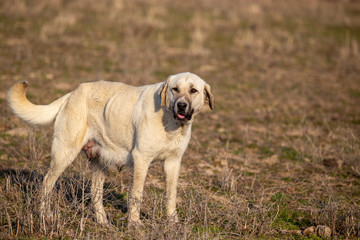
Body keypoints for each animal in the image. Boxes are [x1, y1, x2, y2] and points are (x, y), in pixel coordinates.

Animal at [7, 71, 214, 225]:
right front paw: (134, 224)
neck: (169, 121)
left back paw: (102, 221)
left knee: (94, 193)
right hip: (64, 155)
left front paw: (172, 223)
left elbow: (171, 195)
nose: (181, 105)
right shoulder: (141, 160)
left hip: (100, 162)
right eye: (175, 89)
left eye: (193, 90)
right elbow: (136, 195)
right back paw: (45, 216)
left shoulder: (173, 162)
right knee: (47, 183)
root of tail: (72, 94)